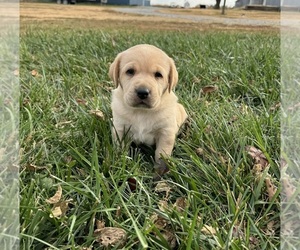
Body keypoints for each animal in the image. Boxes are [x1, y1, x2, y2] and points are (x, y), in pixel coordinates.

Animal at [109, 44, 186, 178]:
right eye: (130, 71)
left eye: (158, 75)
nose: (142, 92)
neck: (141, 111)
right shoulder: (120, 129)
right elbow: (120, 148)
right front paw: (119, 163)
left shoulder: (166, 133)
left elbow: (161, 154)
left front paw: (159, 172)